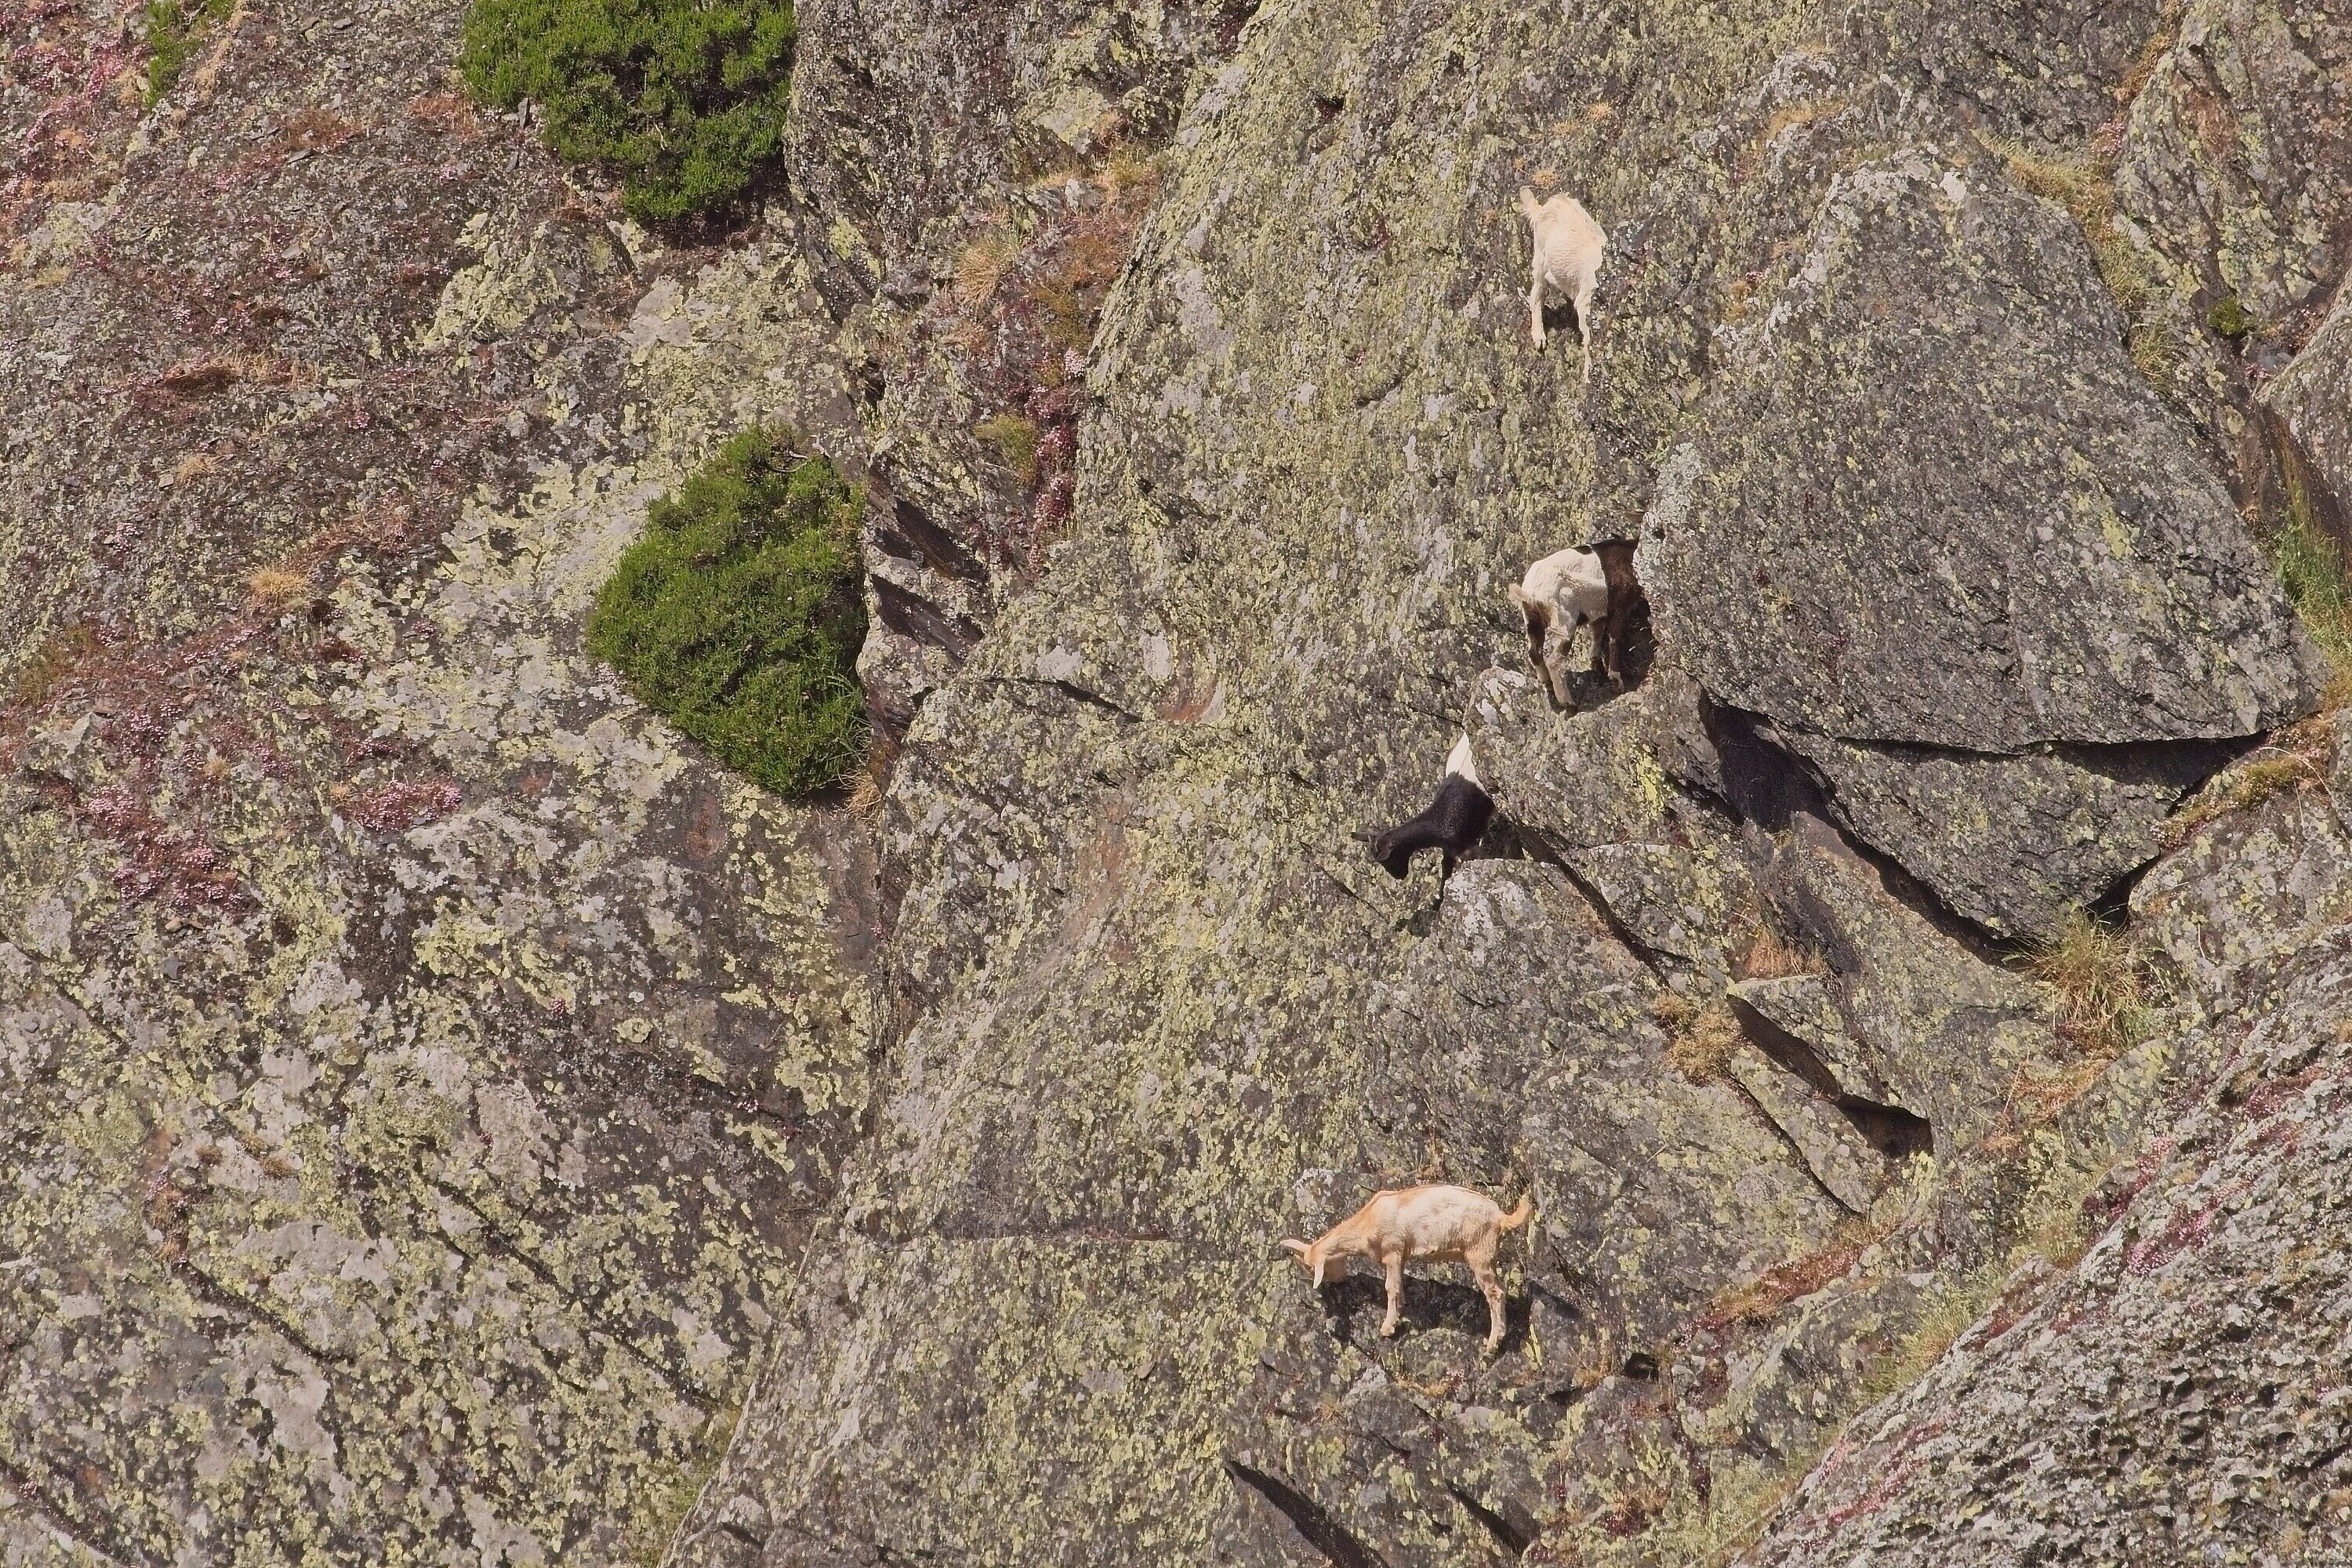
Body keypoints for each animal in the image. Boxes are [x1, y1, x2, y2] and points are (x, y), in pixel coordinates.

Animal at [1282, 1183, 1536, 1351]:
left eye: (1318, 1270)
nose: (1337, 1281)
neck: (1368, 1221)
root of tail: (1501, 1218)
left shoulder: (1393, 1251)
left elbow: (1391, 1288)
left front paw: (1388, 1328)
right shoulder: (1401, 1257)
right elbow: (1400, 1288)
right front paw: (1399, 1314)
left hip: (1479, 1253)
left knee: (1495, 1293)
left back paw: (1493, 1342)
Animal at [1510, 540, 1644, 708]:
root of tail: (1531, 593)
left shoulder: (1598, 615)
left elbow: (1598, 635)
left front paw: (1598, 667)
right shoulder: (1619, 607)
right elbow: (1614, 638)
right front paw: (1616, 681)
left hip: (1532, 621)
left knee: (1534, 653)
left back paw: (1548, 686)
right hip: (1564, 620)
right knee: (1554, 661)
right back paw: (1569, 704)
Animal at [1518, 185, 1607, 382]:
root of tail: (1542, 207)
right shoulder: (1585, 302)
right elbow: (1588, 338)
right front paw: (1588, 375)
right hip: (1540, 254)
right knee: (1536, 294)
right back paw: (1539, 338)